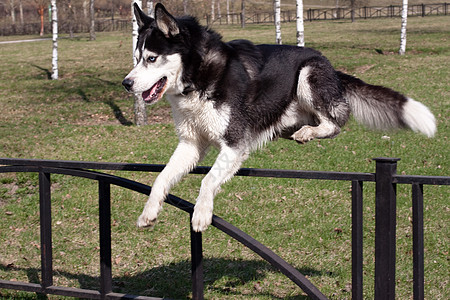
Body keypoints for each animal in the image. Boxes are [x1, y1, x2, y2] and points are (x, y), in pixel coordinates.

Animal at [122, 2, 436, 232]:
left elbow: (208, 180)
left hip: (308, 76)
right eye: (136, 58)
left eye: (151, 58)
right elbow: (161, 178)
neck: (198, 78)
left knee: (336, 122)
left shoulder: (234, 144)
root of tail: (332, 68)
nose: (126, 83)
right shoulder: (190, 144)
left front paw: (201, 213)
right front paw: (149, 211)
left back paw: (310, 131)